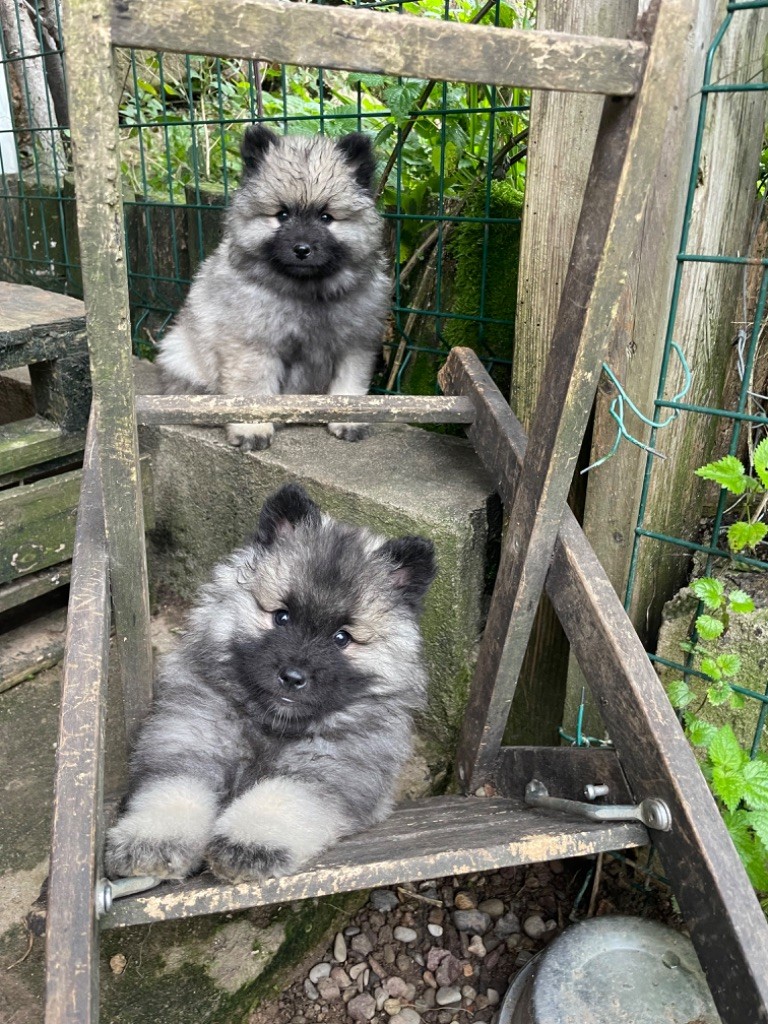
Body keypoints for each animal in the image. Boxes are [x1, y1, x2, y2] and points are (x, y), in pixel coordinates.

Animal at [104, 483, 436, 884]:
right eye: (281, 617)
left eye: (342, 638)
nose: (293, 677)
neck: (270, 727)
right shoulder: (188, 745)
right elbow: (173, 790)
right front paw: (152, 841)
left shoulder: (326, 773)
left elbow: (281, 799)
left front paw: (249, 844)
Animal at [156, 122, 391, 448]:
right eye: (282, 215)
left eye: (326, 217)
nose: (302, 249)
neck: (306, 291)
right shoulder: (253, 347)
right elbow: (252, 391)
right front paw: (253, 429)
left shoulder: (355, 345)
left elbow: (349, 387)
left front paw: (347, 420)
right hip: (180, 351)